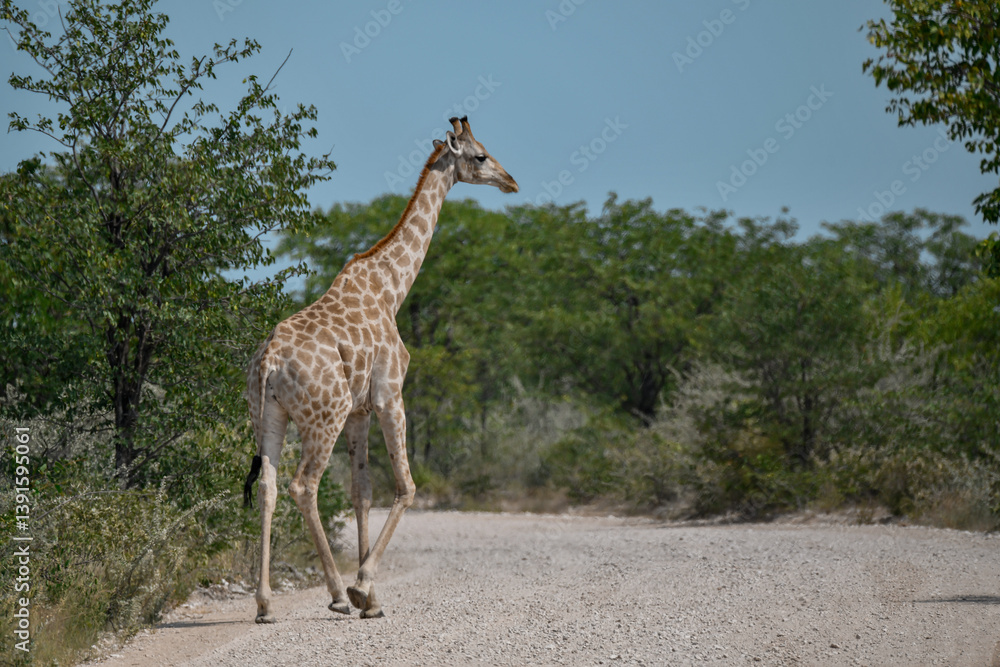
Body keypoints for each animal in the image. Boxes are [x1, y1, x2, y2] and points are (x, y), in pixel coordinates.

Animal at [242, 116, 518, 622]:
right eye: (481, 155)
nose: (511, 182)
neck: (392, 287)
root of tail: (269, 361)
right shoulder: (391, 394)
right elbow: (406, 486)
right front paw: (362, 588)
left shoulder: (359, 411)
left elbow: (362, 490)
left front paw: (368, 596)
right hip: (322, 417)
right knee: (303, 485)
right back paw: (334, 593)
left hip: (268, 415)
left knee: (269, 486)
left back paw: (266, 603)